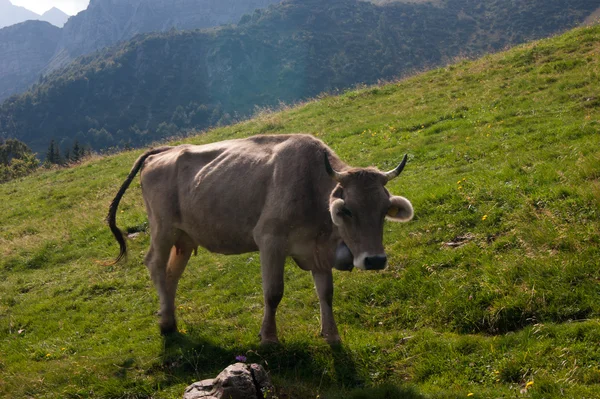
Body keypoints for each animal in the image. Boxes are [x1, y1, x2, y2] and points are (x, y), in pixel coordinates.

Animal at [106, 134, 412, 344]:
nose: (374, 260)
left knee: (172, 274)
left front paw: (331, 335)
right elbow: (273, 293)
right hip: (162, 229)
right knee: (155, 265)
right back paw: (167, 324)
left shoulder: (318, 250)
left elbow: (326, 293)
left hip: (185, 237)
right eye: (347, 210)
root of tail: (166, 151)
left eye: (384, 210)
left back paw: (169, 317)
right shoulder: (269, 240)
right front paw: (269, 337)